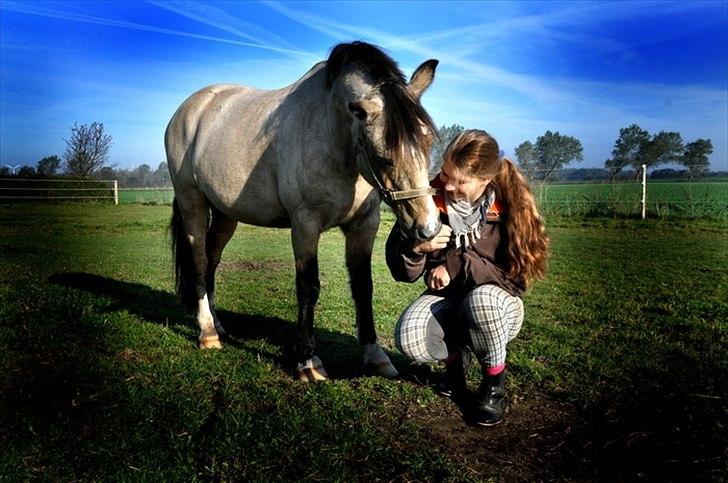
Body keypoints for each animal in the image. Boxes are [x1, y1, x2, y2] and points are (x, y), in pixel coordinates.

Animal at [166, 41, 442, 381]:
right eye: (383, 155)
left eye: (426, 143)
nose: (427, 228)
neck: (332, 136)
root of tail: (190, 109)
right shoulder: (305, 226)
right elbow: (308, 287)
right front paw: (308, 361)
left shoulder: (364, 225)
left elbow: (363, 287)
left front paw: (375, 356)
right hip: (192, 202)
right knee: (200, 261)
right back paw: (207, 333)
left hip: (225, 213)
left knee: (212, 260)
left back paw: (218, 325)